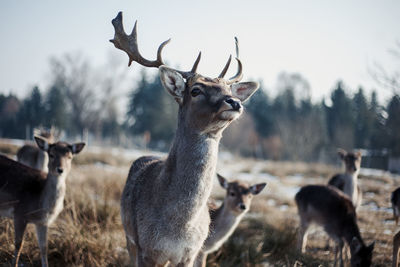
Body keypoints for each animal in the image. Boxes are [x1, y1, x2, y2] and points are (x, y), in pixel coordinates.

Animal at [0, 137, 84, 266]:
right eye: (51, 154)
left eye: (70, 157)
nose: (60, 169)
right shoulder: (19, 213)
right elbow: (19, 244)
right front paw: (14, 264)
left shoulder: (42, 222)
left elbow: (44, 247)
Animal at [110, 11, 260, 266]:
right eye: (195, 90)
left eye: (228, 90)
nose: (234, 102)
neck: (179, 227)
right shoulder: (148, 250)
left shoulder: (191, 253)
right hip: (129, 237)